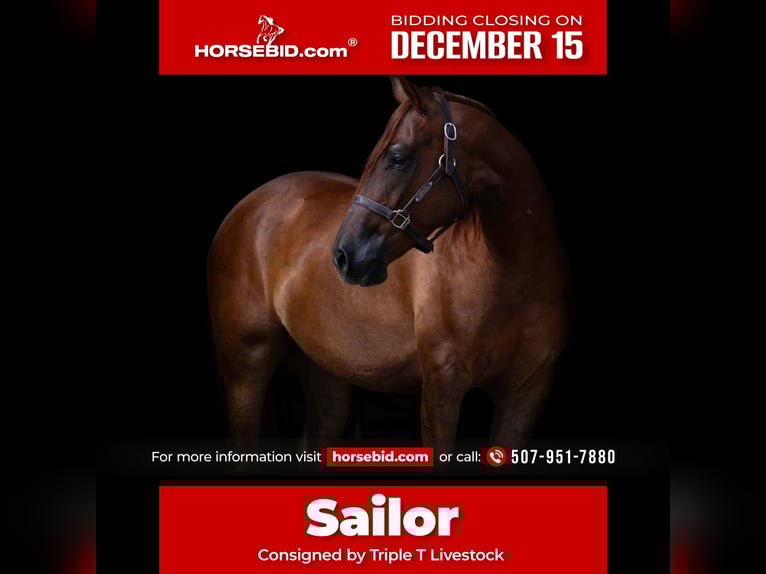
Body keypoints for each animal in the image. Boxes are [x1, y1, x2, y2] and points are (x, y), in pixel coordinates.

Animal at [207, 77, 567, 455]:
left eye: (397, 158)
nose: (343, 255)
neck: (512, 278)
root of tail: (247, 206)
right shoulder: (442, 388)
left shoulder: (525, 396)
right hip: (246, 370)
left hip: (327, 378)